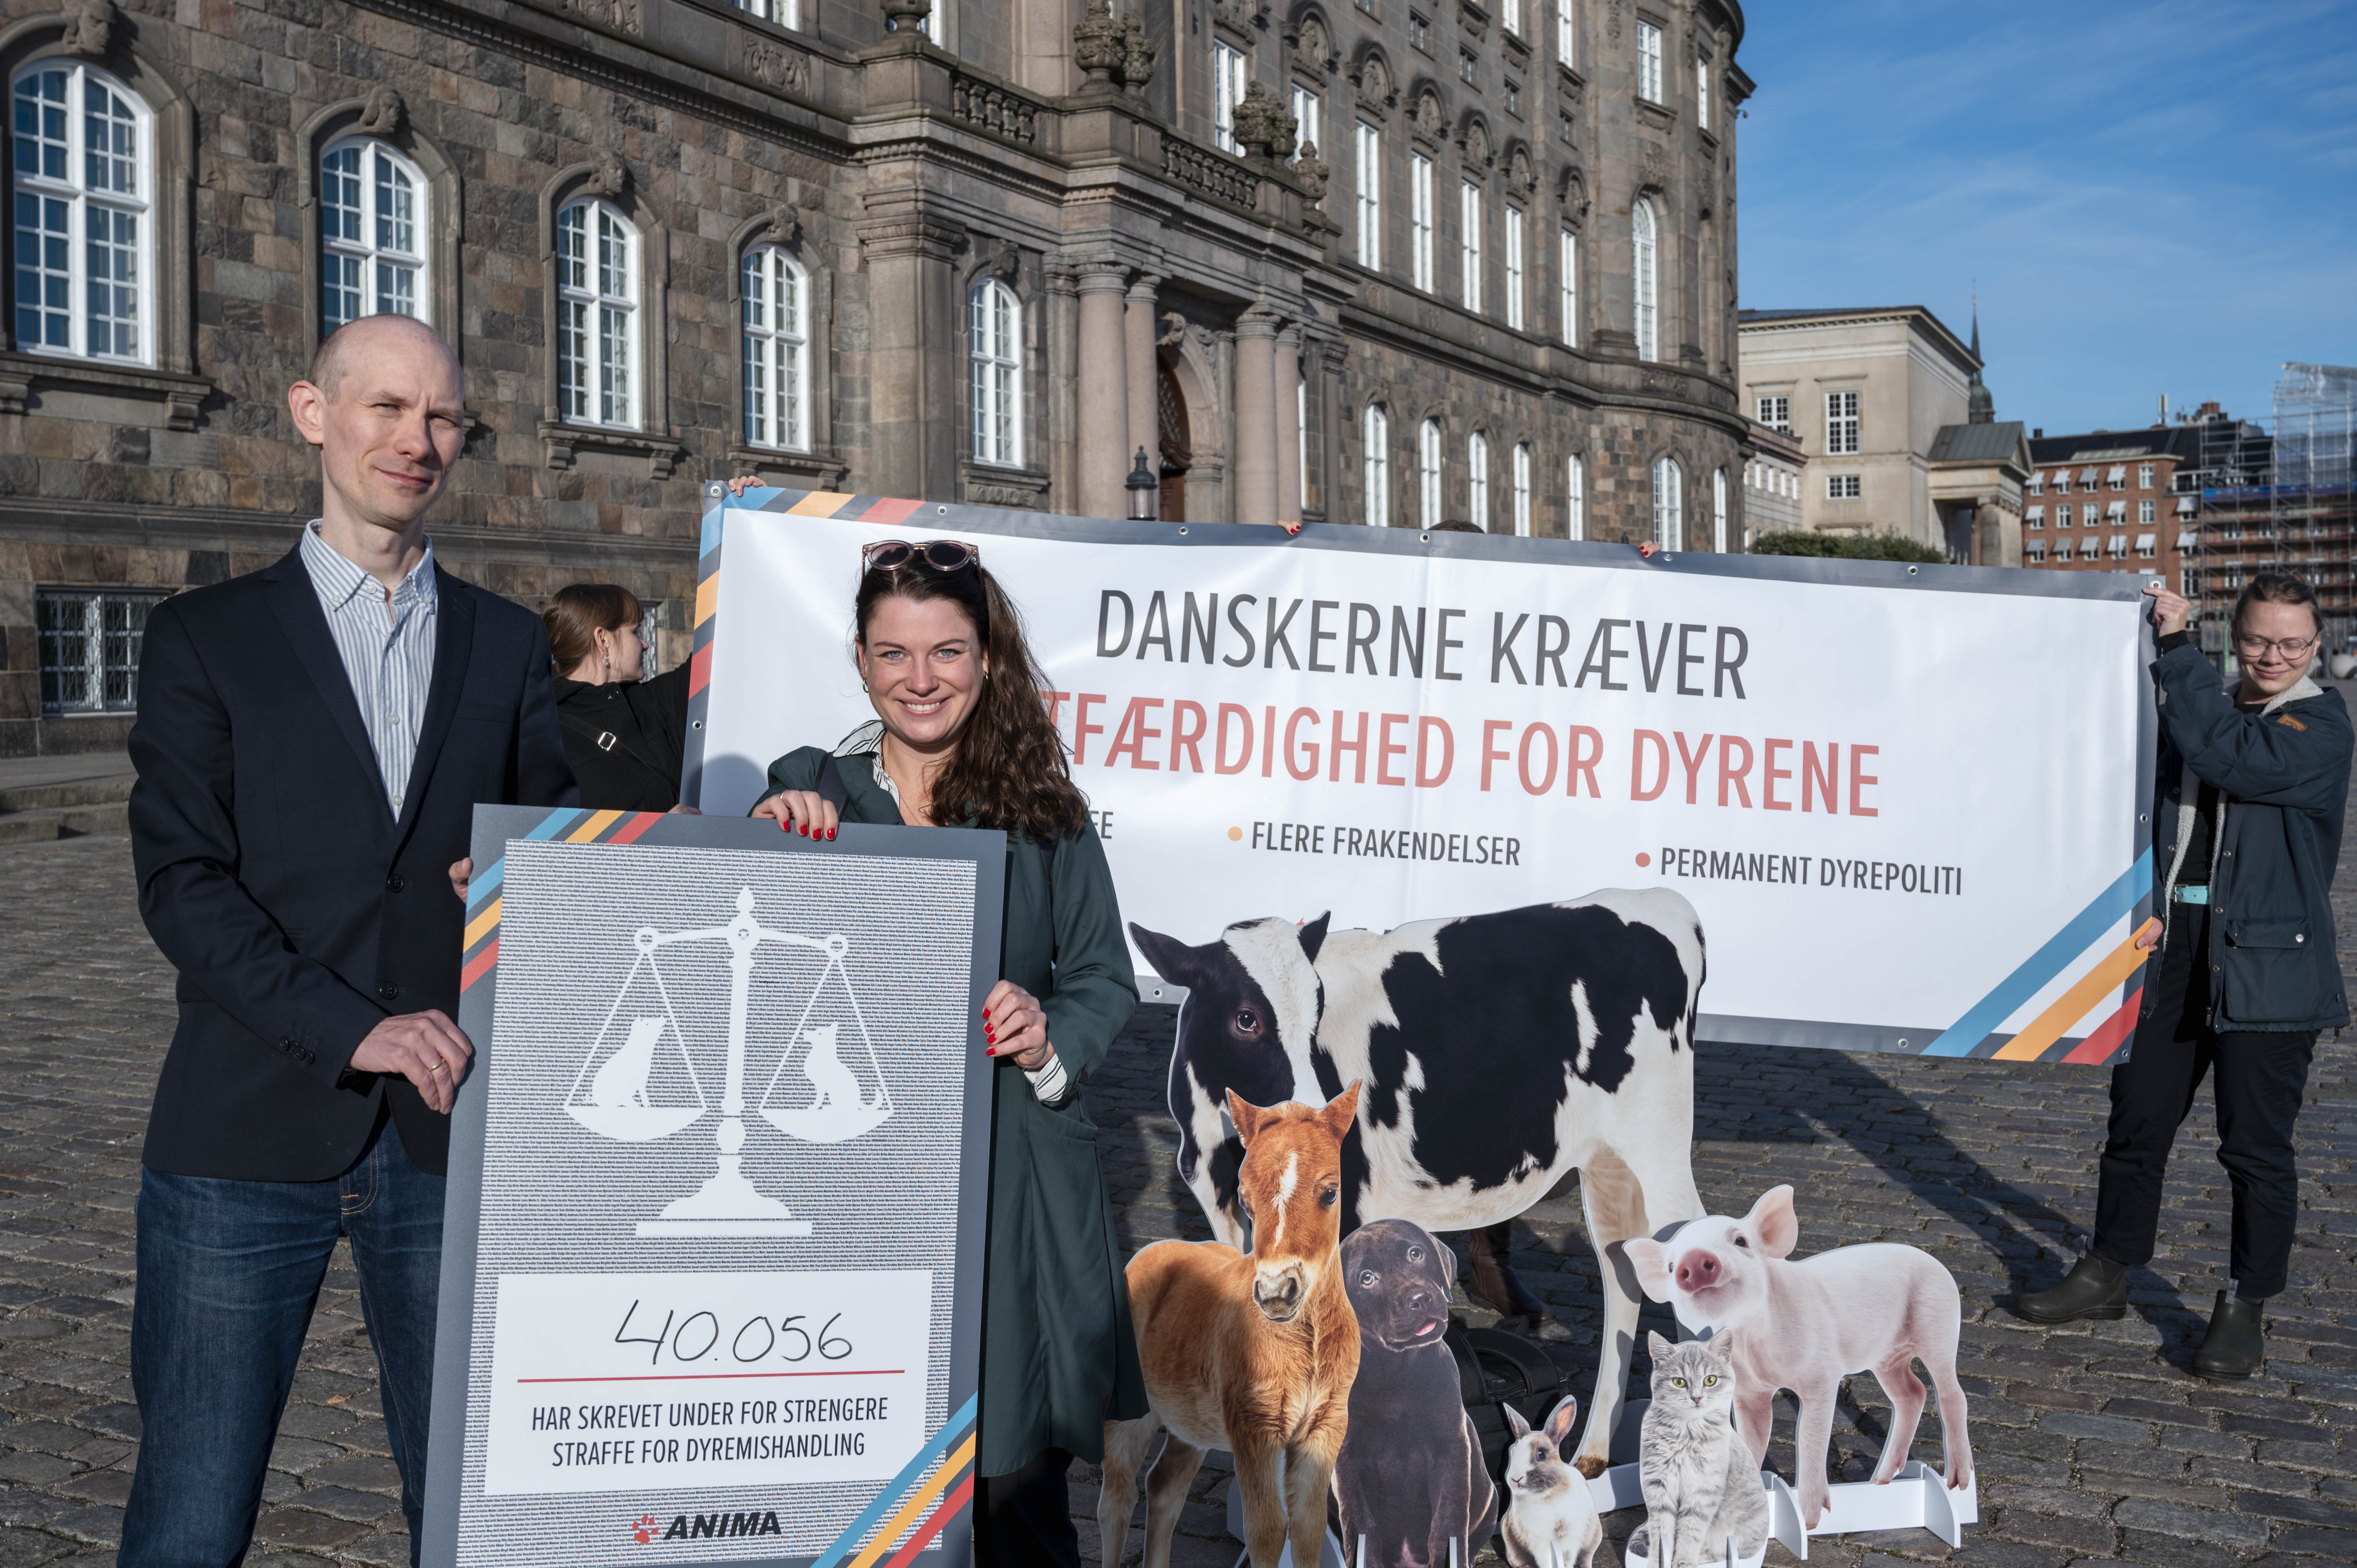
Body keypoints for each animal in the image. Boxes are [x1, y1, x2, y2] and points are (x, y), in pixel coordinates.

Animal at [1100, 1083, 1364, 1568]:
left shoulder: (1326, 1427)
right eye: (1244, 1199)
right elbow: (1266, 1531)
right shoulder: (1253, 1428)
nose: (1277, 1291)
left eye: (1330, 1193)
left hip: (1191, 1421)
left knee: (1163, 1487)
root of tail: (1151, 1251)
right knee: (1117, 1497)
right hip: (1128, 1409)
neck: (1308, 1344)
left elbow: (1308, 1530)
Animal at [1128, 888, 1706, 1478]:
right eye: (1246, 1019)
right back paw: (1593, 1451)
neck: (1224, 1160)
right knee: (1621, 1273)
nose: (1321, 1121)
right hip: (1609, 1166)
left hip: (1660, 1153)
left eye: (1316, 1012)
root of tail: (1658, 900)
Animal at [1332, 1220, 1496, 1566]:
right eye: (1367, 1278)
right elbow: (1361, 1526)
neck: (1397, 1371)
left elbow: (1447, 1522)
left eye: (1415, 1254)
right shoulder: (1348, 1459)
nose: (1420, 1298)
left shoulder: (1450, 1450)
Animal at [1624, 1185, 1972, 1529]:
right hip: (1887, 1358)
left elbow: (1809, 1437)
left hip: (1939, 1327)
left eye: (1741, 1241)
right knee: (1912, 1393)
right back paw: (1880, 1482)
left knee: (1951, 1393)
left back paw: (1957, 1484)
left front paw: (1810, 1522)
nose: (1695, 1259)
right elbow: (1752, 1440)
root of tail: (1935, 1262)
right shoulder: (1748, 1391)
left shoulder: (1822, 1375)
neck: (1750, 1342)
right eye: (1671, 1266)